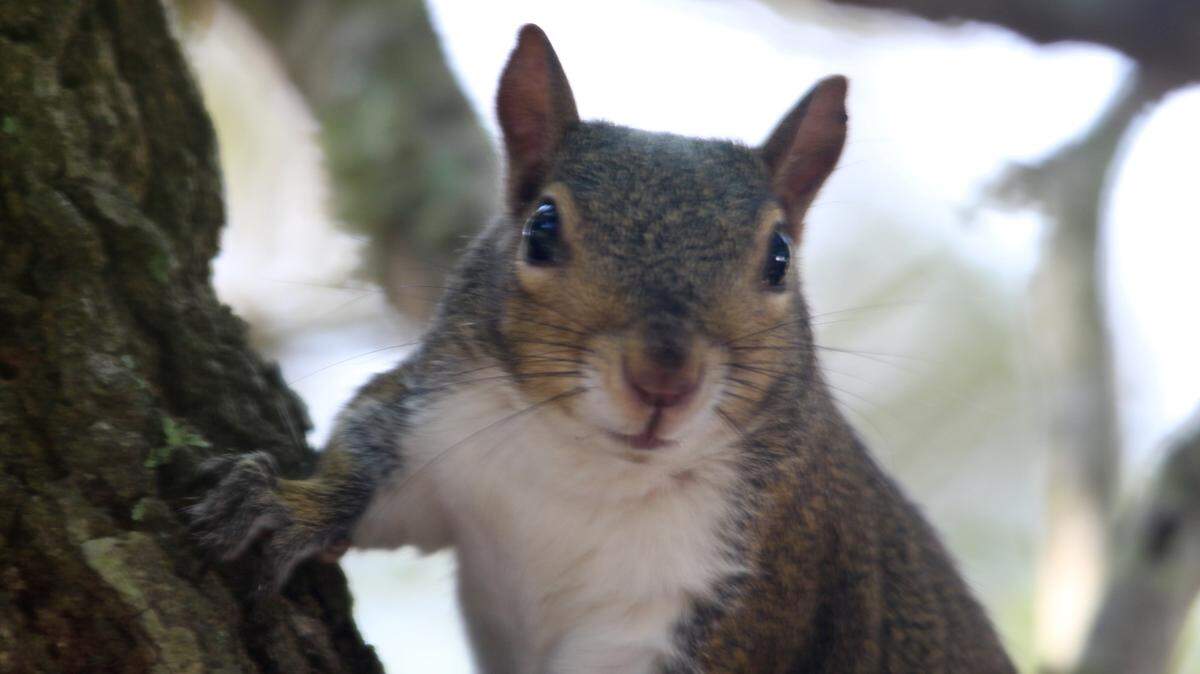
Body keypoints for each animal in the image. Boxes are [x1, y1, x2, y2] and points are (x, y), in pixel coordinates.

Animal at [190, 24, 1016, 674]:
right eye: (541, 227)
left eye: (780, 258)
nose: (664, 381)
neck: (585, 470)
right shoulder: (433, 422)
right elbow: (364, 455)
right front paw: (285, 507)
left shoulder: (742, 594)